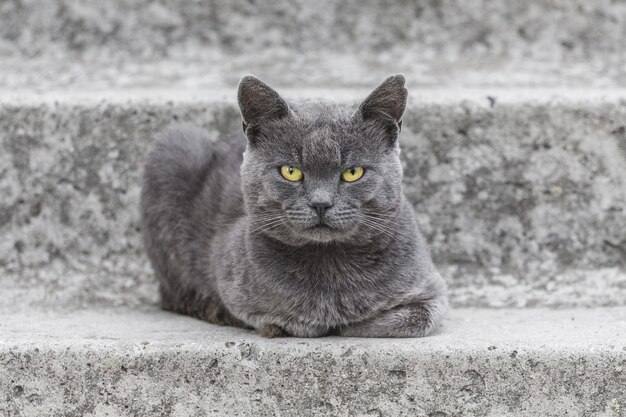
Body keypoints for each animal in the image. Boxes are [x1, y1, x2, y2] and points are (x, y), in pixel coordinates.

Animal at [141, 74, 444, 334]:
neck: (331, 267)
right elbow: (285, 319)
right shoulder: (233, 284)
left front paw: (351, 323)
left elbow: (410, 317)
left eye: (353, 172)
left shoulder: (432, 289)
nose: (321, 203)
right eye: (290, 171)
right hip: (173, 148)